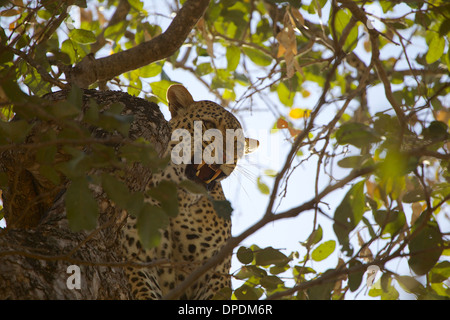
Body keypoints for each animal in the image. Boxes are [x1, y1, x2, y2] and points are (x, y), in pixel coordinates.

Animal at [119, 84, 258, 298]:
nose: (226, 156)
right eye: (209, 124)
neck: (179, 198)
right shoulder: (136, 254)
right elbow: (146, 291)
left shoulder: (216, 270)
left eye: (239, 145)